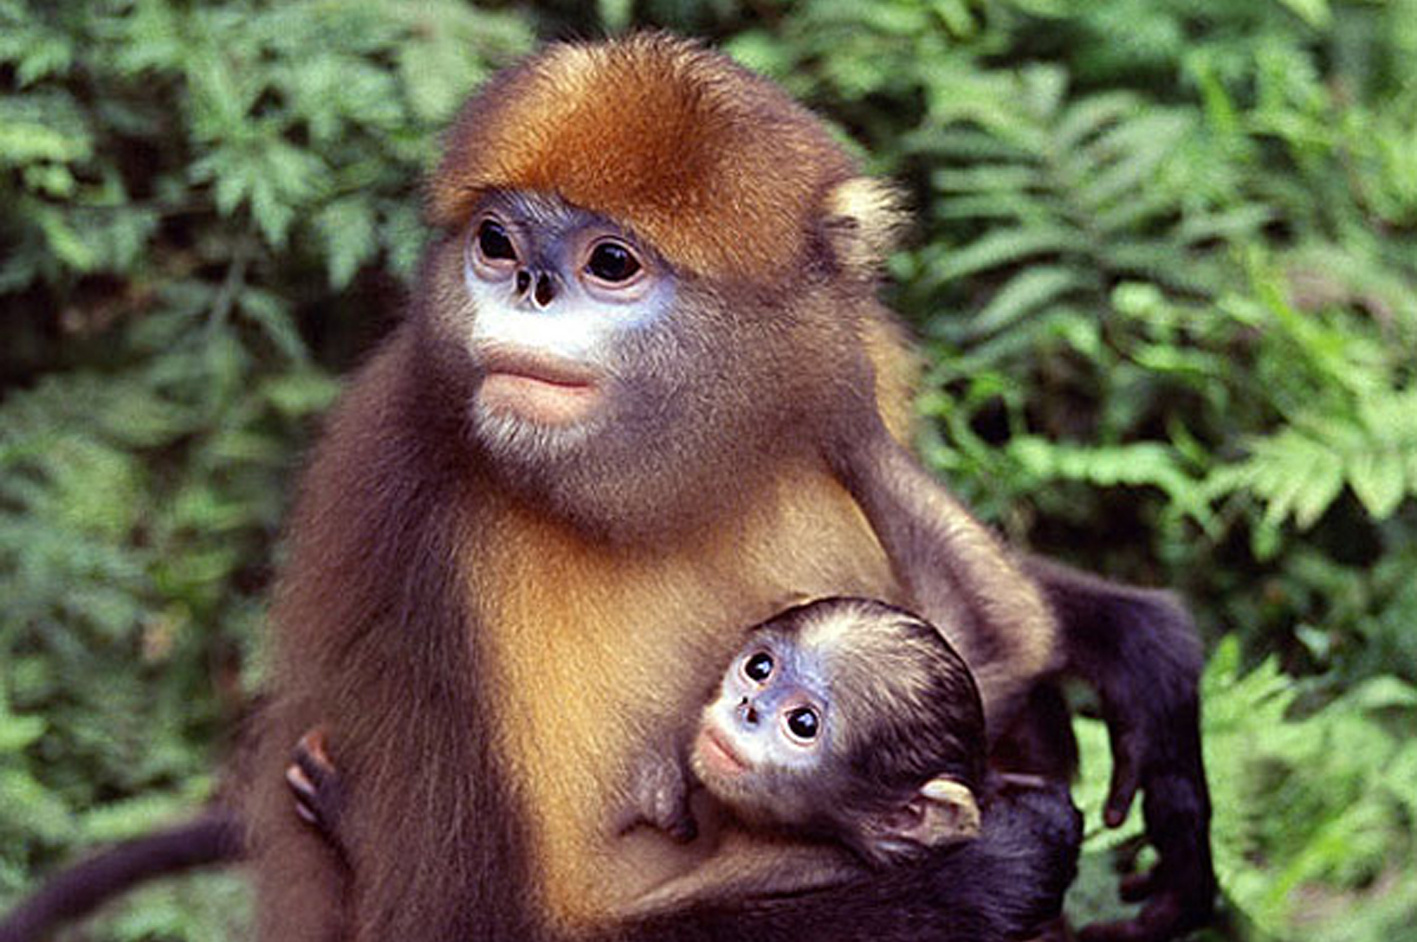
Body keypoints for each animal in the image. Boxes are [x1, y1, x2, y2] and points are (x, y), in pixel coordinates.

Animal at [246, 29, 1218, 940]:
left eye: (610, 262)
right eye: (496, 242)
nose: (528, 282)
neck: (675, 493)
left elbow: (999, 640)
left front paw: (1147, 663)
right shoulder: (431, 543)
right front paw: (1000, 865)